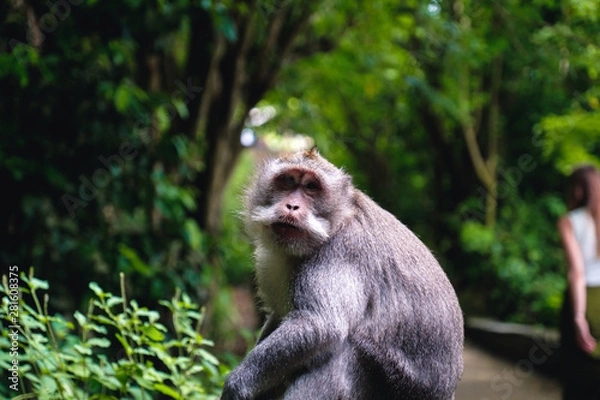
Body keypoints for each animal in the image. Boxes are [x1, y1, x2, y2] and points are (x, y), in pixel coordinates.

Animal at [220, 149, 464, 400]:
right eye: (288, 181)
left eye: (311, 187)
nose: (291, 206)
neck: (334, 224)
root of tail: (447, 391)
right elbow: (279, 317)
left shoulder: (339, 252)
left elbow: (321, 324)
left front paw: (238, 383)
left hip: (399, 385)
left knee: (346, 351)